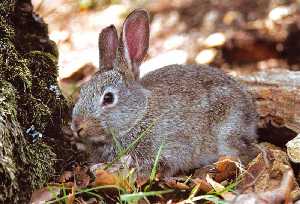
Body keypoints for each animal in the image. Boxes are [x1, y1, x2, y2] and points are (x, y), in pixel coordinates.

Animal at [71, 8, 258, 181]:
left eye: (108, 98)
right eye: (82, 90)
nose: (77, 126)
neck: (139, 116)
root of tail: (251, 113)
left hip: (227, 131)